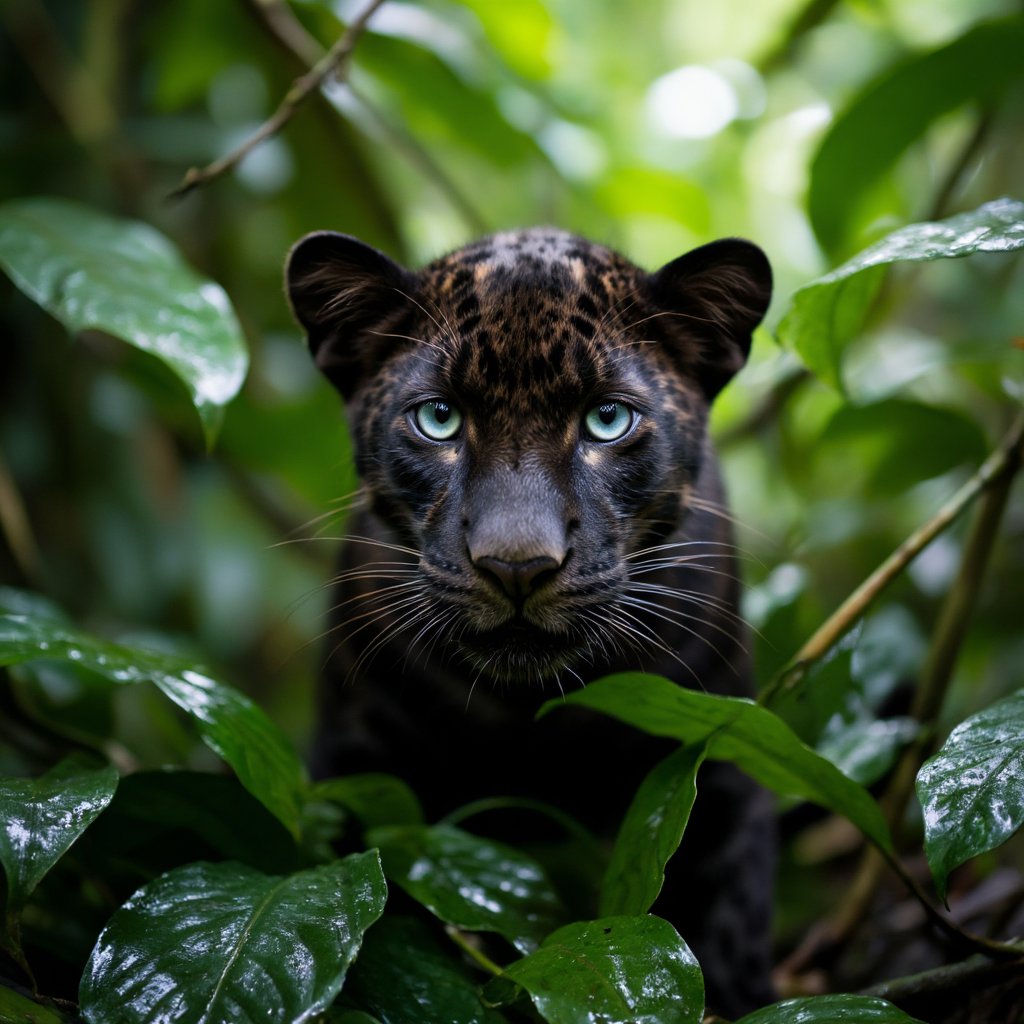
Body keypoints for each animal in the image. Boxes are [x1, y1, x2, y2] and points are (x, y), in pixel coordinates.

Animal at [286, 227, 775, 1017]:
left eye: (608, 420)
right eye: (439, 419)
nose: (517, 564)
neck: (525, 716)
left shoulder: (724, 759)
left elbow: (735, 933)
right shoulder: (359, 762)